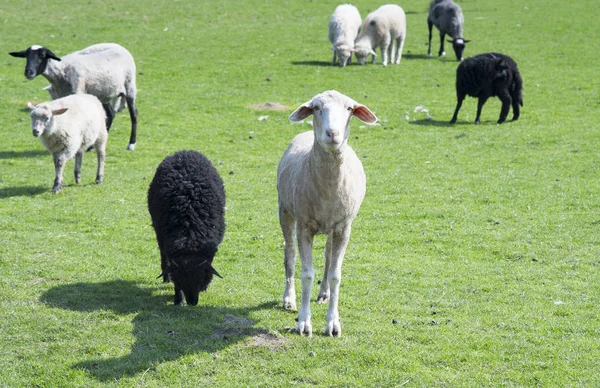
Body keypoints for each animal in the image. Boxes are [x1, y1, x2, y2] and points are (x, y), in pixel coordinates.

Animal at [9, 43, 139, 150]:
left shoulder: (77, 93)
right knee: (111, 114)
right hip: (102, 94)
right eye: (26, 56)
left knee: (134, 115)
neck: (61, 70)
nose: (28, 72)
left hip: (129, 87)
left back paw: (131, 144)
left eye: (42, 55)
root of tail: (121, 48)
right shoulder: (59, 97)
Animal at [278, 90, 378, 336]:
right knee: (290, 254)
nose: (332, 133)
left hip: (331, 228)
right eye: (316, 108)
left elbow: (335, 274)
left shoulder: (343, 228)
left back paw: (324, 293)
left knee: (328, 256)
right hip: (285, 210)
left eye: (349, 109)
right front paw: (304, 322)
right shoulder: (304, 225)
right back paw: (289, 298)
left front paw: (333, 323)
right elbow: (307, 273)